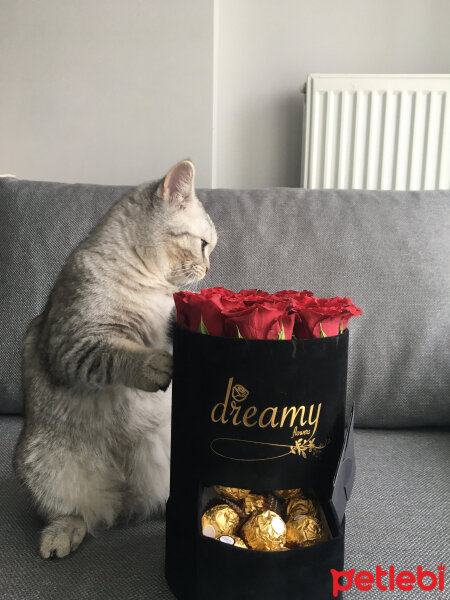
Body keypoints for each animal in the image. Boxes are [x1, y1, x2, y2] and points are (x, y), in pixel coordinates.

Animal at [14, 158, 218, 556]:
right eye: (203, 245)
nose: (208, 269)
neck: (150, 285)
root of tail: (128, 498)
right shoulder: (78, 340)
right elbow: (119, 354)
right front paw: (153, 363)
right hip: (42, 464)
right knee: (79, 514)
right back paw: (62, 534)